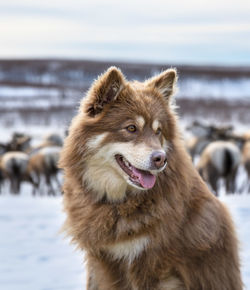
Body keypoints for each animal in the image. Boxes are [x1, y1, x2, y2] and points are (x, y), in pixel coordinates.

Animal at [58, 67, 242, 290]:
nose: (160, 159)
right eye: (131, 128)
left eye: (158, 131)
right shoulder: (101, 260)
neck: (117, 203)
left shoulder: (150, 266)